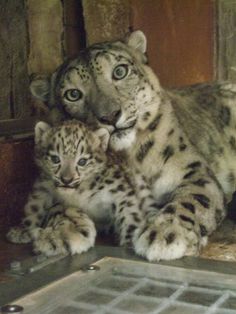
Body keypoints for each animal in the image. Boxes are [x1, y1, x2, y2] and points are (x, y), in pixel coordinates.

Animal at [27, 30, 234, 260]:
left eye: (120, 71)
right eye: (73, 94)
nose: (110, 115)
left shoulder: (195, 172)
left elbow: (191, 199)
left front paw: (165, 233)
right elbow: (59, 206)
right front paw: (60, 233)